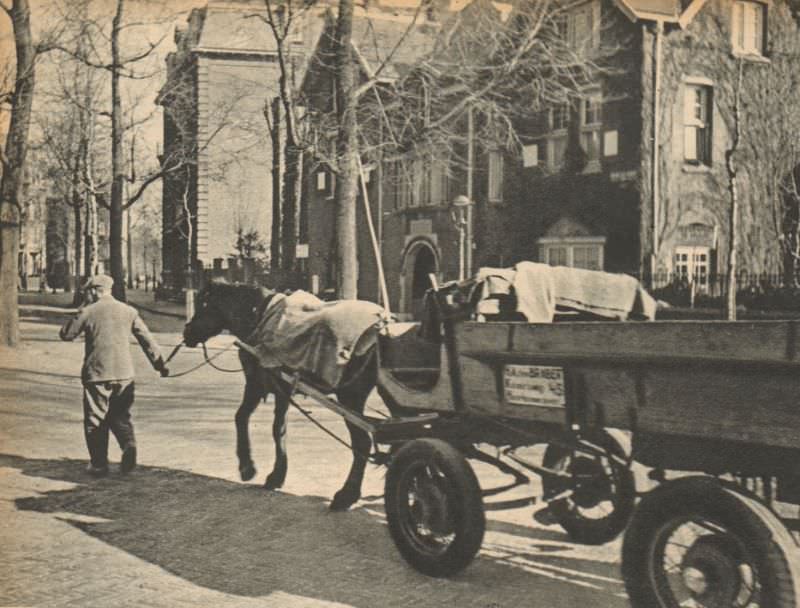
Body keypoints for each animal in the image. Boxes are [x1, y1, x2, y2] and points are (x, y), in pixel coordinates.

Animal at [181, 282, 382, 510]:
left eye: (203, 305)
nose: (187, 332)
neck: (259, 315)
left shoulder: (259, 384)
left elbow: (253, 421)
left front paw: (250, 468)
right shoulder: (276, 388)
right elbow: (270, 425)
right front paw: (272, 473)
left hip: (350, 397)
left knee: (362, 442)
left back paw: (347, 495)